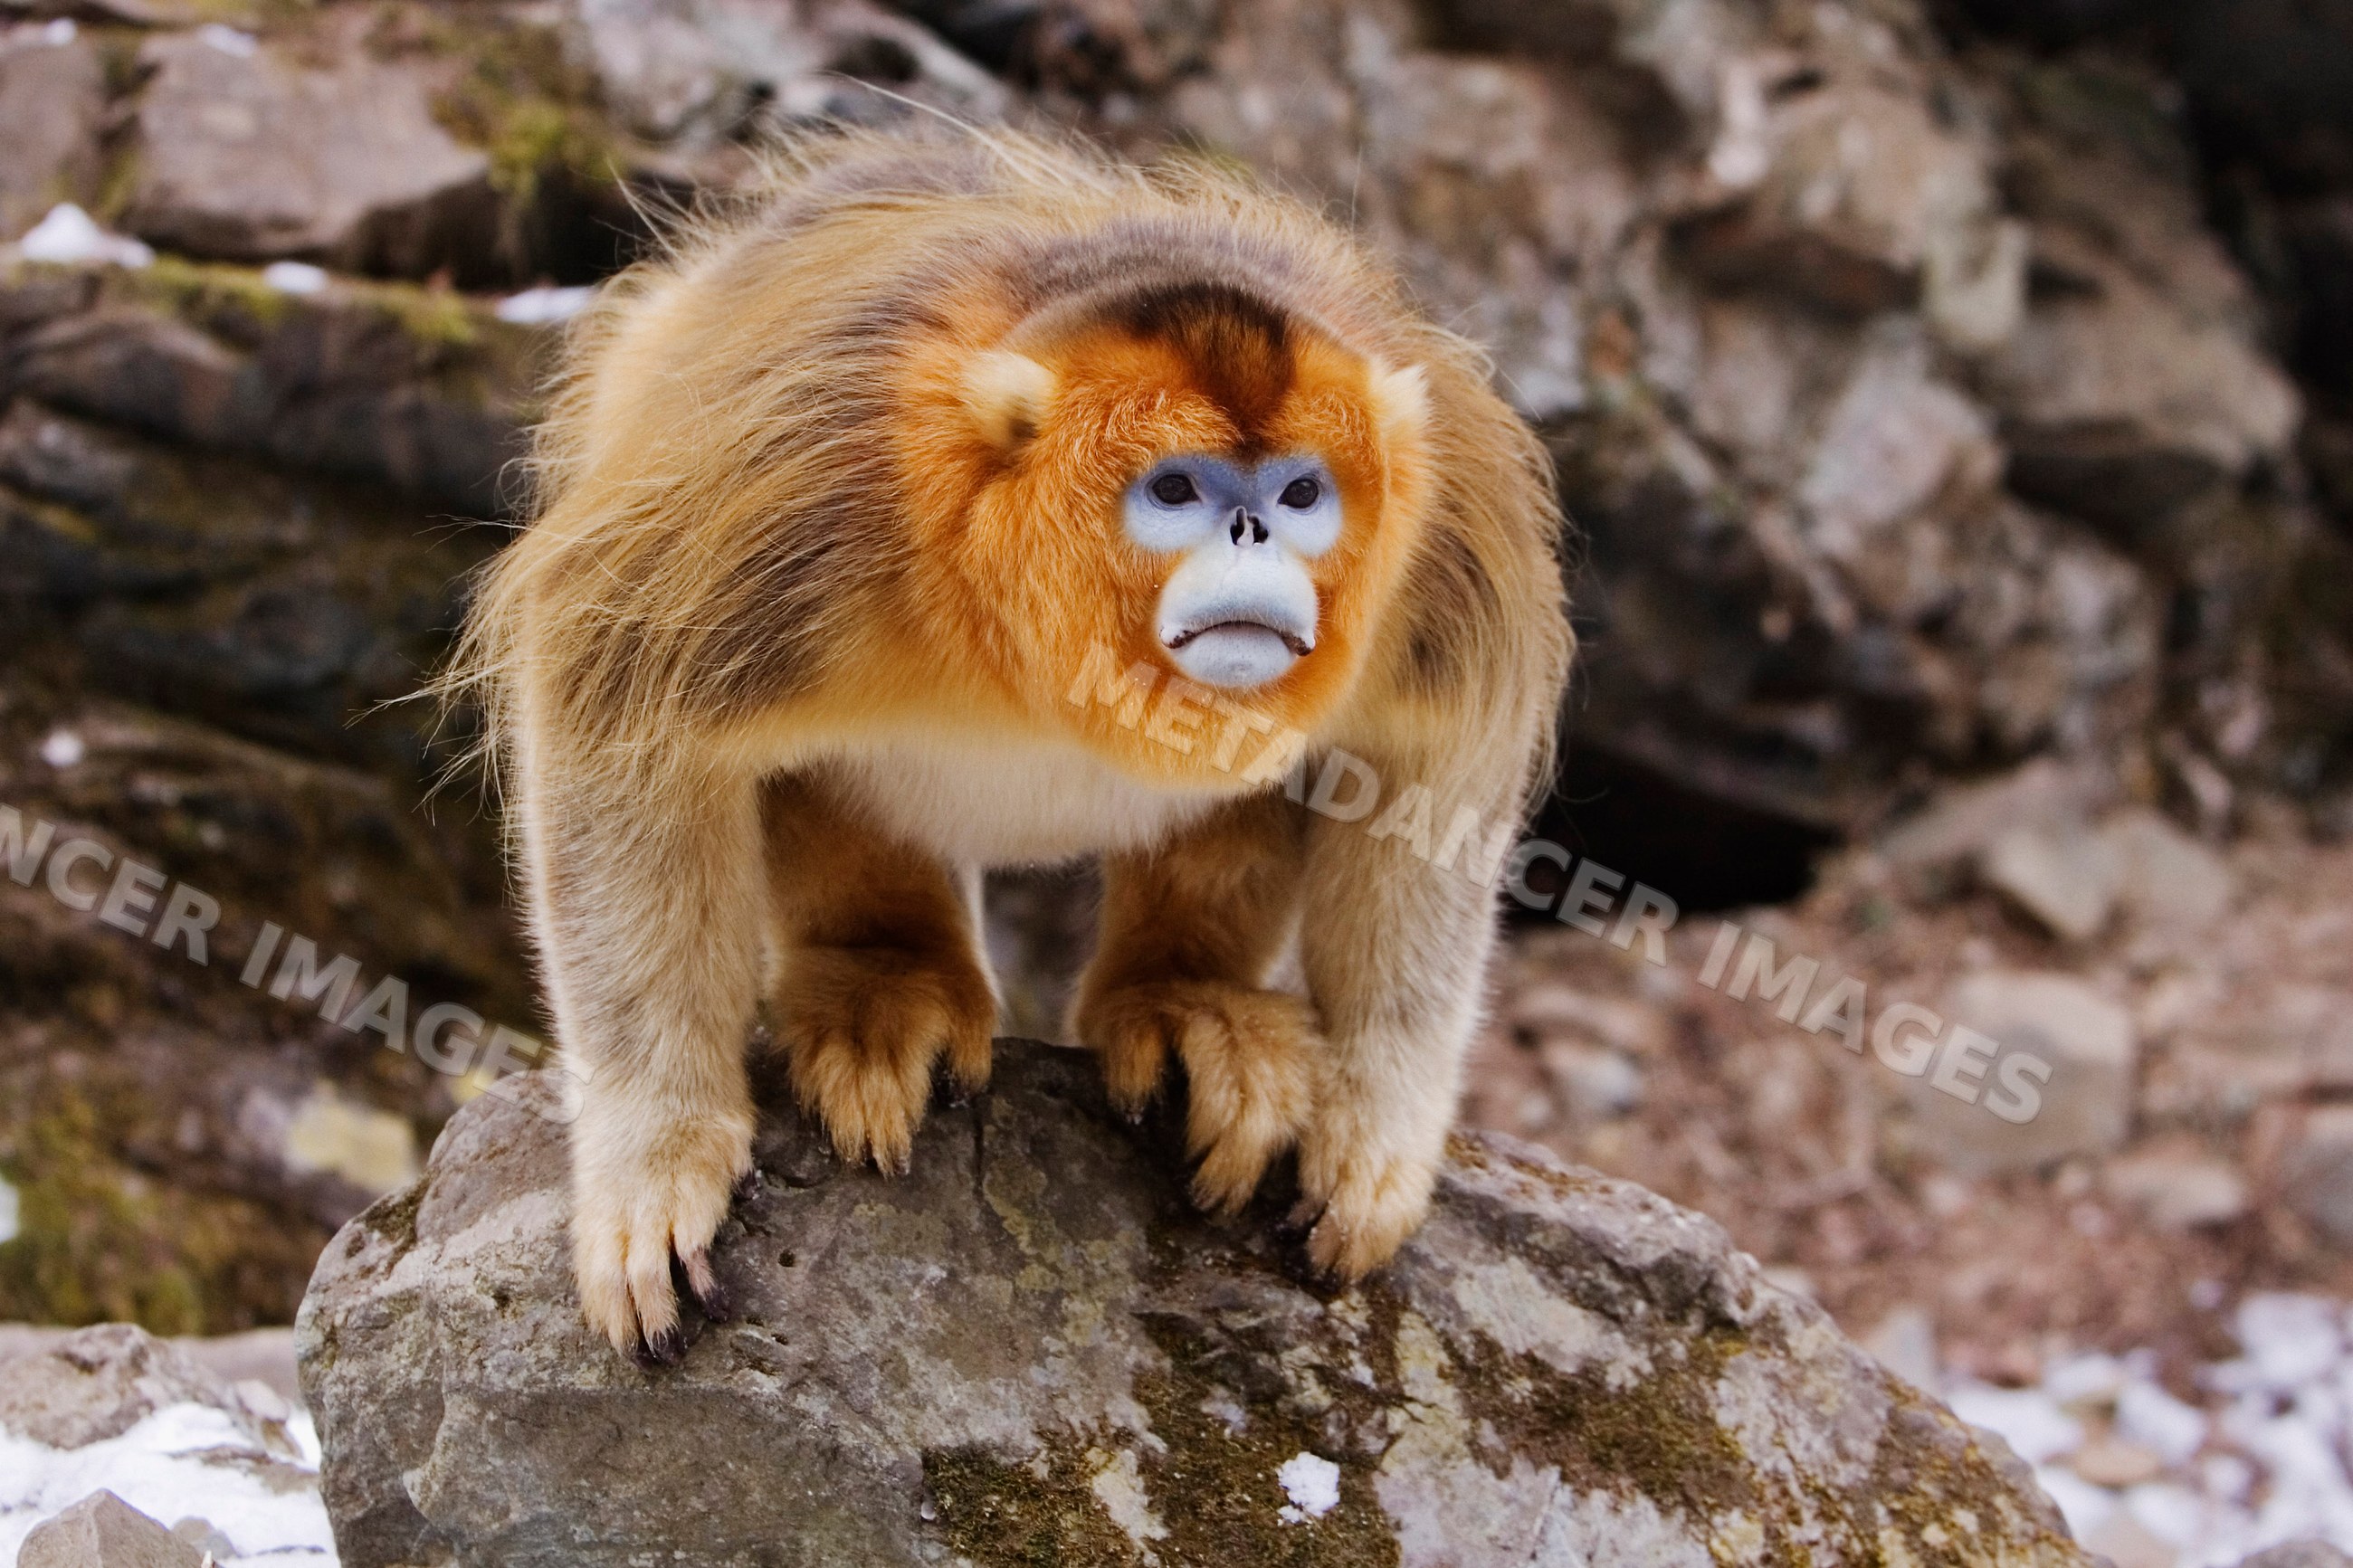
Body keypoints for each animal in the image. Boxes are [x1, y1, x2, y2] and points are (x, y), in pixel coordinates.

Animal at [449, 126, 1572, 1363]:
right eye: (1173, 489)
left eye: (1298, 492)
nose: (1251, 531)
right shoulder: (801, 487)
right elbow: (613, 717)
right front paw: (654, 1161)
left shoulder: (1450, 528)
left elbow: (1441, 776)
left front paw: (1374, 1133)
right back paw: (884, 981)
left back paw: (1183, 996)